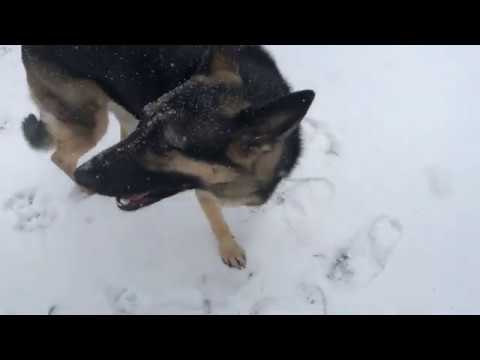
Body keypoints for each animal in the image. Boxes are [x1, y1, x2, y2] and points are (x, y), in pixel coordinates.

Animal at [21, 45, 316, 268]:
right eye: (146, 120)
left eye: (165, 147)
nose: (85, 174)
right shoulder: (204, 191)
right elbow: (217, 220)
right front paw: (228, 247)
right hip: (90, 122)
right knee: (60, 157)